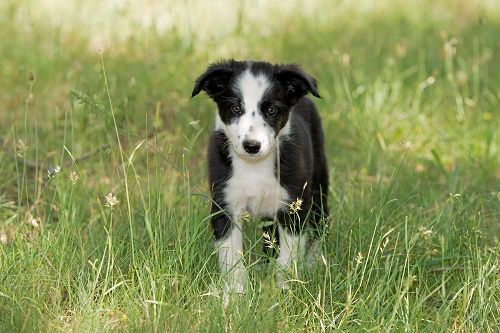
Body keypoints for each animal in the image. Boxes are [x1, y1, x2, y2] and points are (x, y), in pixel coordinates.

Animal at [191, 59, 328, 296]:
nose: (252, 146)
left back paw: (313, 260)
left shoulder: (292, 206)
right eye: (236, 108)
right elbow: (231, 257)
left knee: (321, 221)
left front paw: (284, 290)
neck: (254, 167)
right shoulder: (224, 205)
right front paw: (236, 295)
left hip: (317, 184)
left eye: (271, 110)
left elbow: (287, 257)